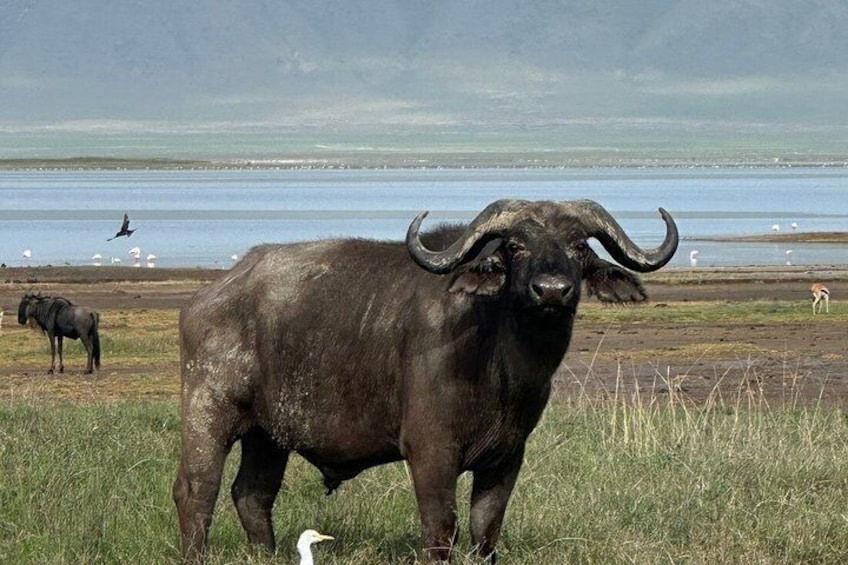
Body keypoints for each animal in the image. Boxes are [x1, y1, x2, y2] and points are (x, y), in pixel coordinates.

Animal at [173, 199, 678, 562]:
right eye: (516, 246)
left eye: (578, 246)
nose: (551, 290)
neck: (498, 364)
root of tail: (213, 293)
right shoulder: (431, 453)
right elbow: (441, 529)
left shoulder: (507, 457)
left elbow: (485, 529)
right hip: (206, 411)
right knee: (197, 491)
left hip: (269, 435)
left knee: (252, 495)